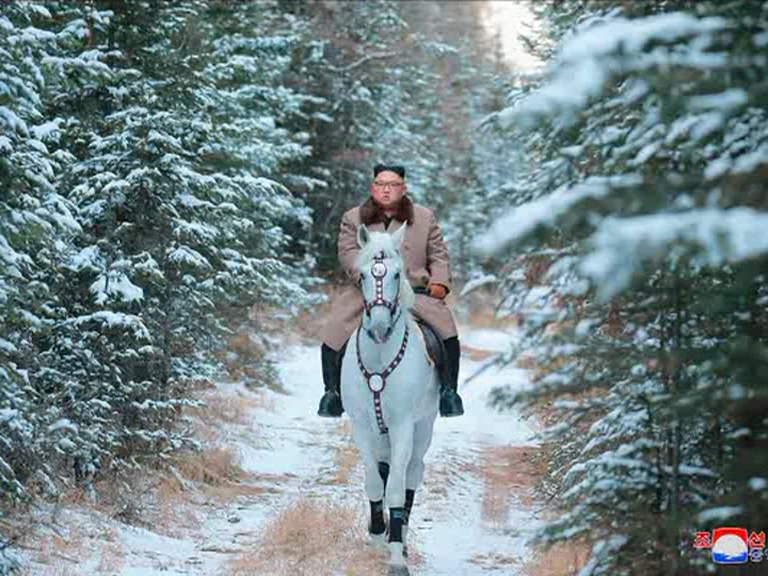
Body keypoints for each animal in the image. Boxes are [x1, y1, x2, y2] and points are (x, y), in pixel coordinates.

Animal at [340, 223, 440, 572]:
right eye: (363, 275)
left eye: (397, 274)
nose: (380, 327)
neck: (380, 357)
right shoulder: (361, 425)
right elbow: (374, 480)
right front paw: (376, 534)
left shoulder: (402, 426)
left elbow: (396, 487)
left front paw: (396, 555)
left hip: (423, 428)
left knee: (411, 473)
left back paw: (403, 538)